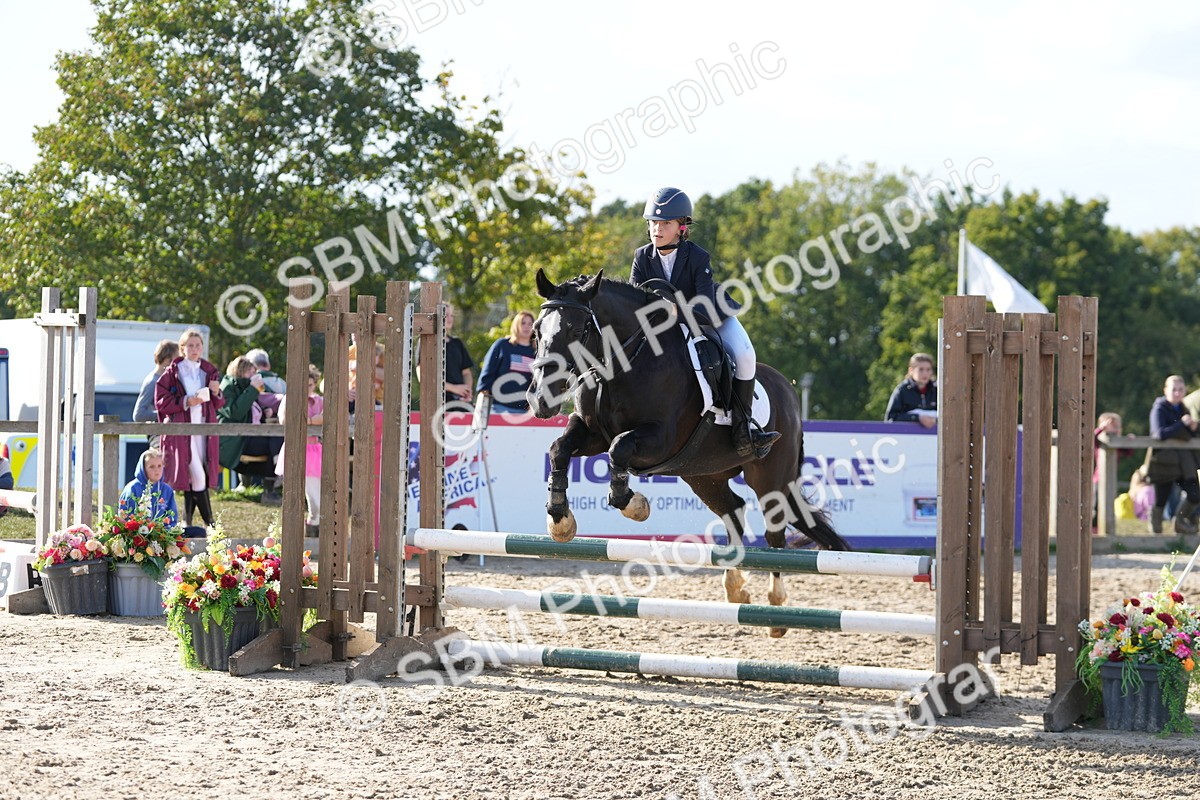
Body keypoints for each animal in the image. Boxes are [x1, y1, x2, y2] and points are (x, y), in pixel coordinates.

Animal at [527, 269, 850, 636]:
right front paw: (560, 519)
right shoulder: (591, 432)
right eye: (537, 331)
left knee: (774, 532)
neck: (625, 362)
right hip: (704, 475)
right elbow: (560, 449)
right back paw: (736, 589)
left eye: (576, 330)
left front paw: (634, 505)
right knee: (733, 511)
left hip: (770, 478)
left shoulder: (659, 438)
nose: (539, 398)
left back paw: (776, 608)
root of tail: (789, 393)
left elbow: (619, 448)